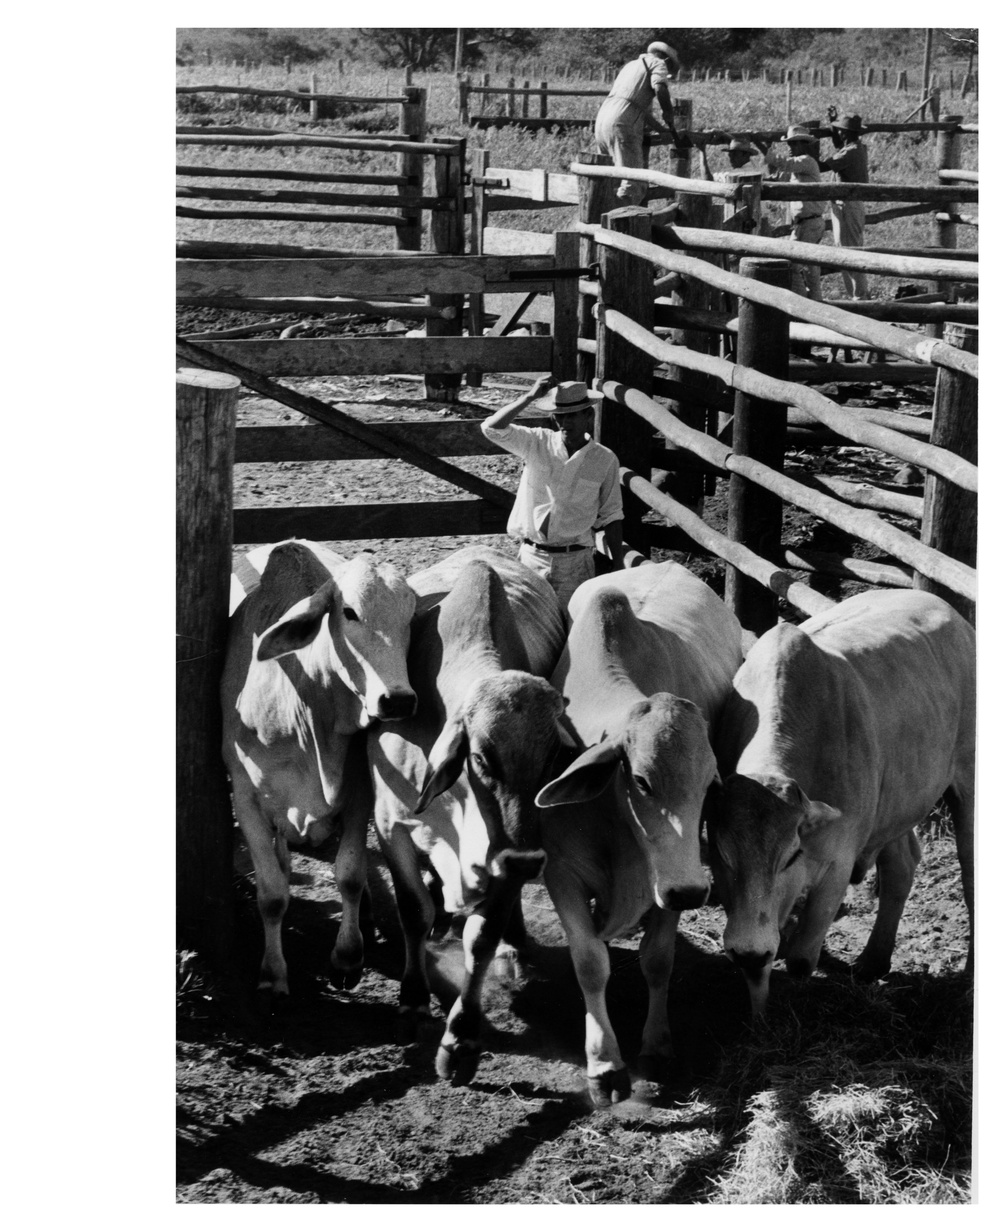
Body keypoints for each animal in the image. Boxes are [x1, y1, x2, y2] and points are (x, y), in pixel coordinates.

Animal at [221, 540, 417, 997]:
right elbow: (272, 894)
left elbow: (350, 875)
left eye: (410, 616)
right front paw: (273, 974)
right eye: (349, 612)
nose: (398, 699)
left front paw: (347, 957)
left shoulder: (359, 793)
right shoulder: (246, 799)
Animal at [368, 543, 572, 1081]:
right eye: (480, 758)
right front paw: (413, 999)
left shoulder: (502, 853)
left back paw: (514, 945)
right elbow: (413, 910)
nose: (526, 861)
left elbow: (480, 939)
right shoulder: (391, 826)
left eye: (553, 757)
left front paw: (460, 1039)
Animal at [540, 562, 742, 1111]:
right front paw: (605, 1066)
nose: (691, 891)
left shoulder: (665, 886)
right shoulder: (560, 873)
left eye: (709, 785)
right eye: (643, 781)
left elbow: (658, 961)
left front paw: (656, 1046)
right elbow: (590, 963)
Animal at [707, 585, 972, 1017]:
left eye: (791, 856)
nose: (749, 951)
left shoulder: (837, 863)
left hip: (968, 781)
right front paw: (759, 1015)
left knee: (969, 870)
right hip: (895, 801)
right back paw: (872, 961)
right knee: (901, 864)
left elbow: (800, 957)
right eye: (723, 856)